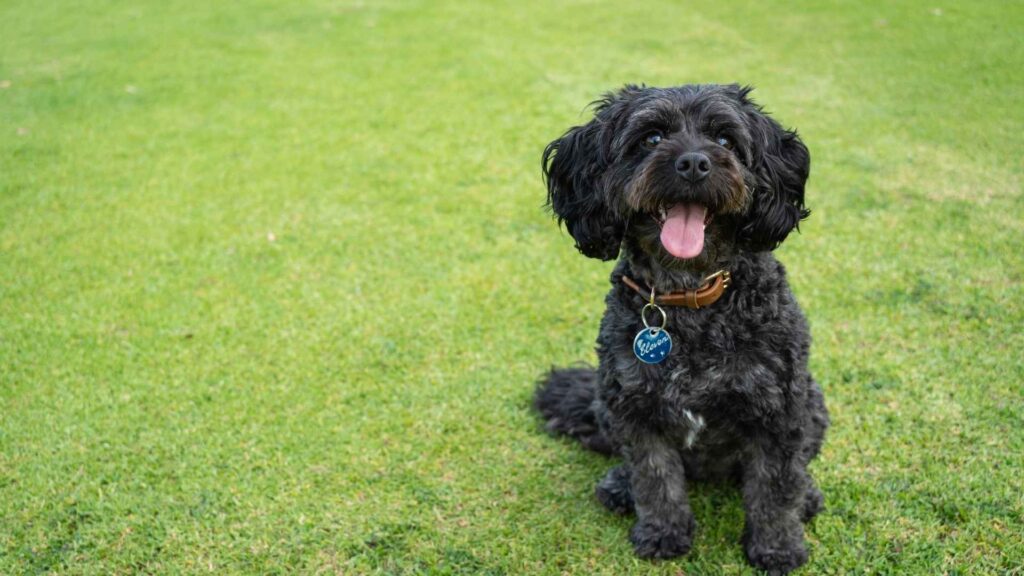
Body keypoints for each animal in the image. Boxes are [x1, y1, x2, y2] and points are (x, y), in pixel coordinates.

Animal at [534, 84, 829, 574]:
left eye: (725, 140)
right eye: (651, 138)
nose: (693, 163)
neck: (687, 296)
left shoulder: (780, 411)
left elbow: (776, 488)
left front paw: (777, 547)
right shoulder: (635, 410)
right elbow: (655, 479)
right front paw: (663, 533)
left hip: (814, 403)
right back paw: (619, 486)